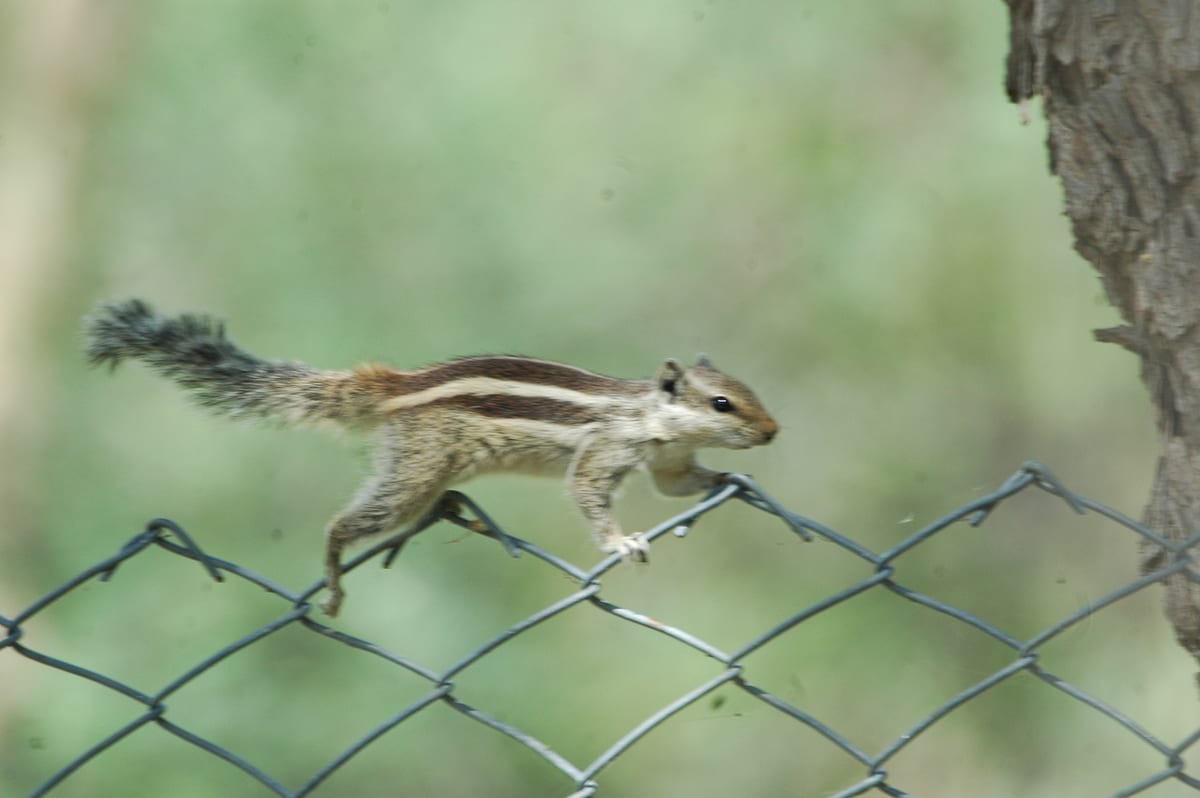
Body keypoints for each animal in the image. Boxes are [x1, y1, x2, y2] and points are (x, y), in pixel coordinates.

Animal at [84, 298, 779, 617]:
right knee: (345, 523)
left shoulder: (668, 461)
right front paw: (619, 541)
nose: (773, 432)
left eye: (749, 393)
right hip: (415, 466)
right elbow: (587, 492)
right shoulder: (605, 448)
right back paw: (334, 583)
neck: (650, 414)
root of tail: (394, 387)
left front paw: (729, 478)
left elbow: (677, 487)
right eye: (722, 403)